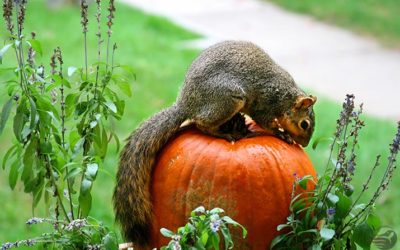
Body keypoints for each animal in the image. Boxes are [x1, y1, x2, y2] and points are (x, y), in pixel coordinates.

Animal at [111, 40, 316, 247]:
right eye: (304, 124)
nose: (305, 144)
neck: (285, 96)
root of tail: (186, 104)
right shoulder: (266, 103)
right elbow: (265, 121)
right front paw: (282, 134)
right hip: (228, 99)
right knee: (202, 124)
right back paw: (226, 133)